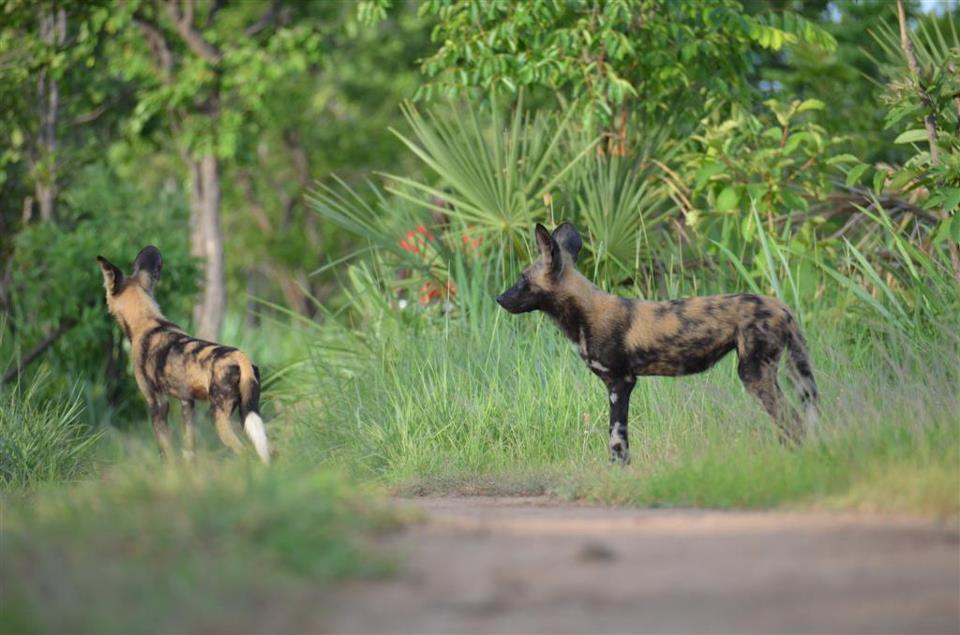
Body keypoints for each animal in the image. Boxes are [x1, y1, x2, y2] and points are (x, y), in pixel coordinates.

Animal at [99, 246, 270, 464]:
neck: (148, 321)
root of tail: (241, 357)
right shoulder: (187, 402)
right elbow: (189, 448)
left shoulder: (157, 403)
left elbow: (166, 450)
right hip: (249, 411)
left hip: (218, 417)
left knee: (245, 452)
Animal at [498, 226, 820, 464]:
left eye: (522, 279)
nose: (499, 298)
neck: (583, 313)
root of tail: (780, 306)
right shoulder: (622, 385)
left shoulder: (620, 383)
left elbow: (616, 440)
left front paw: (618, 472)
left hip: (753, 374)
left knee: (792, 420)